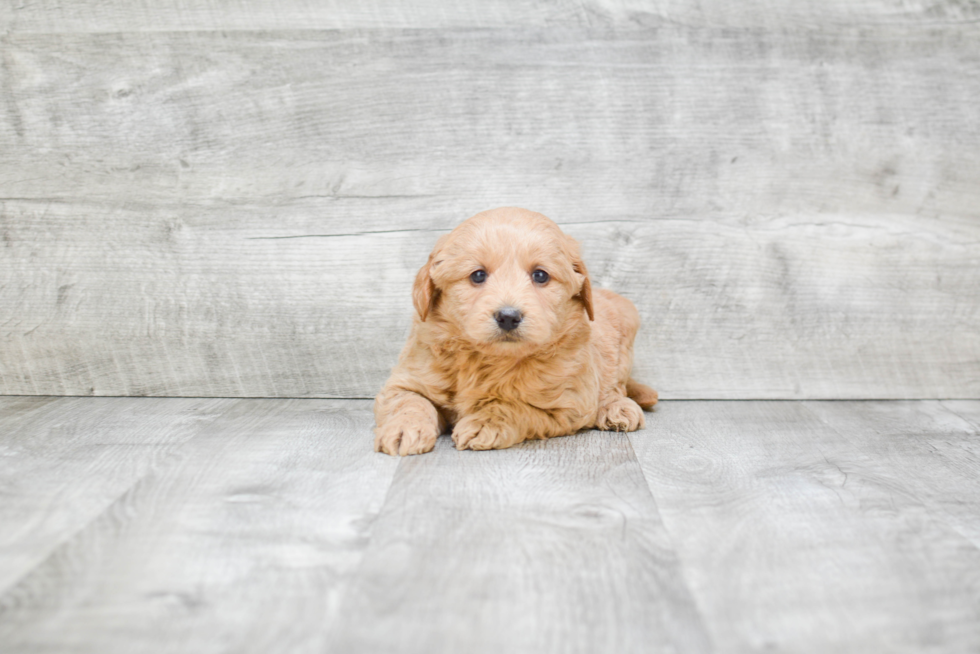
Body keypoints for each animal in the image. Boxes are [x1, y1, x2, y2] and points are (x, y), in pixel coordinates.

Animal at [376, 206, 660, 456]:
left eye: (540, 275)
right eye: (478, 275)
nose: (508, 317)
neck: (488, 360)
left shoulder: (567, 403)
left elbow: (515, 405)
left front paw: (485, 422)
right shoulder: (406, 380)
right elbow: (410, 401)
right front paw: (404, 429)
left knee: (615, 386)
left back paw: (615, 409)